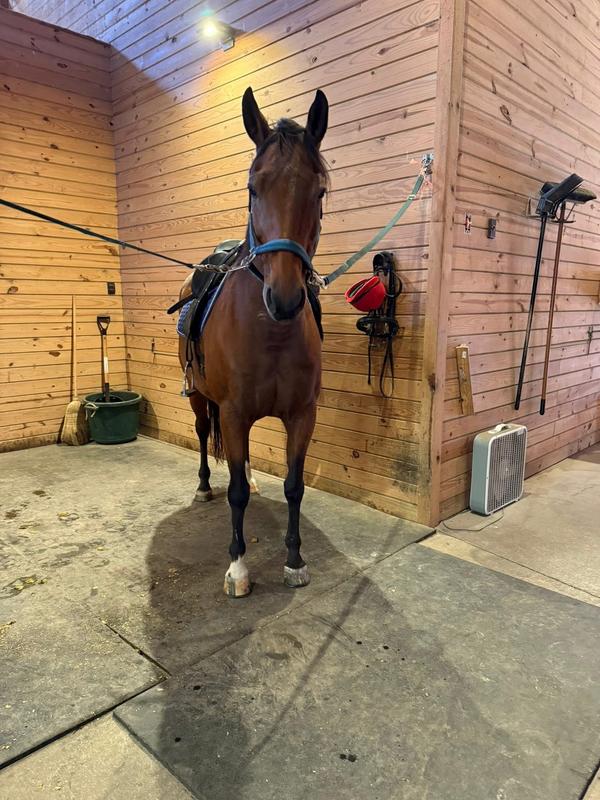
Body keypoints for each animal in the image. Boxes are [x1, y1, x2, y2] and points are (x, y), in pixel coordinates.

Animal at [178, 87, 329, 598]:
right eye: (252, 188)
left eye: (319, 191)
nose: (284, 299)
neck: (270, 330)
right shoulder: (232, 410)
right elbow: (237, 493)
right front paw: (238, 567)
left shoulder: (302, 414)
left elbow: (294, 486)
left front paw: (295, 560)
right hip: (201, 399)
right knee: (204, 437)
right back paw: (204, 487)